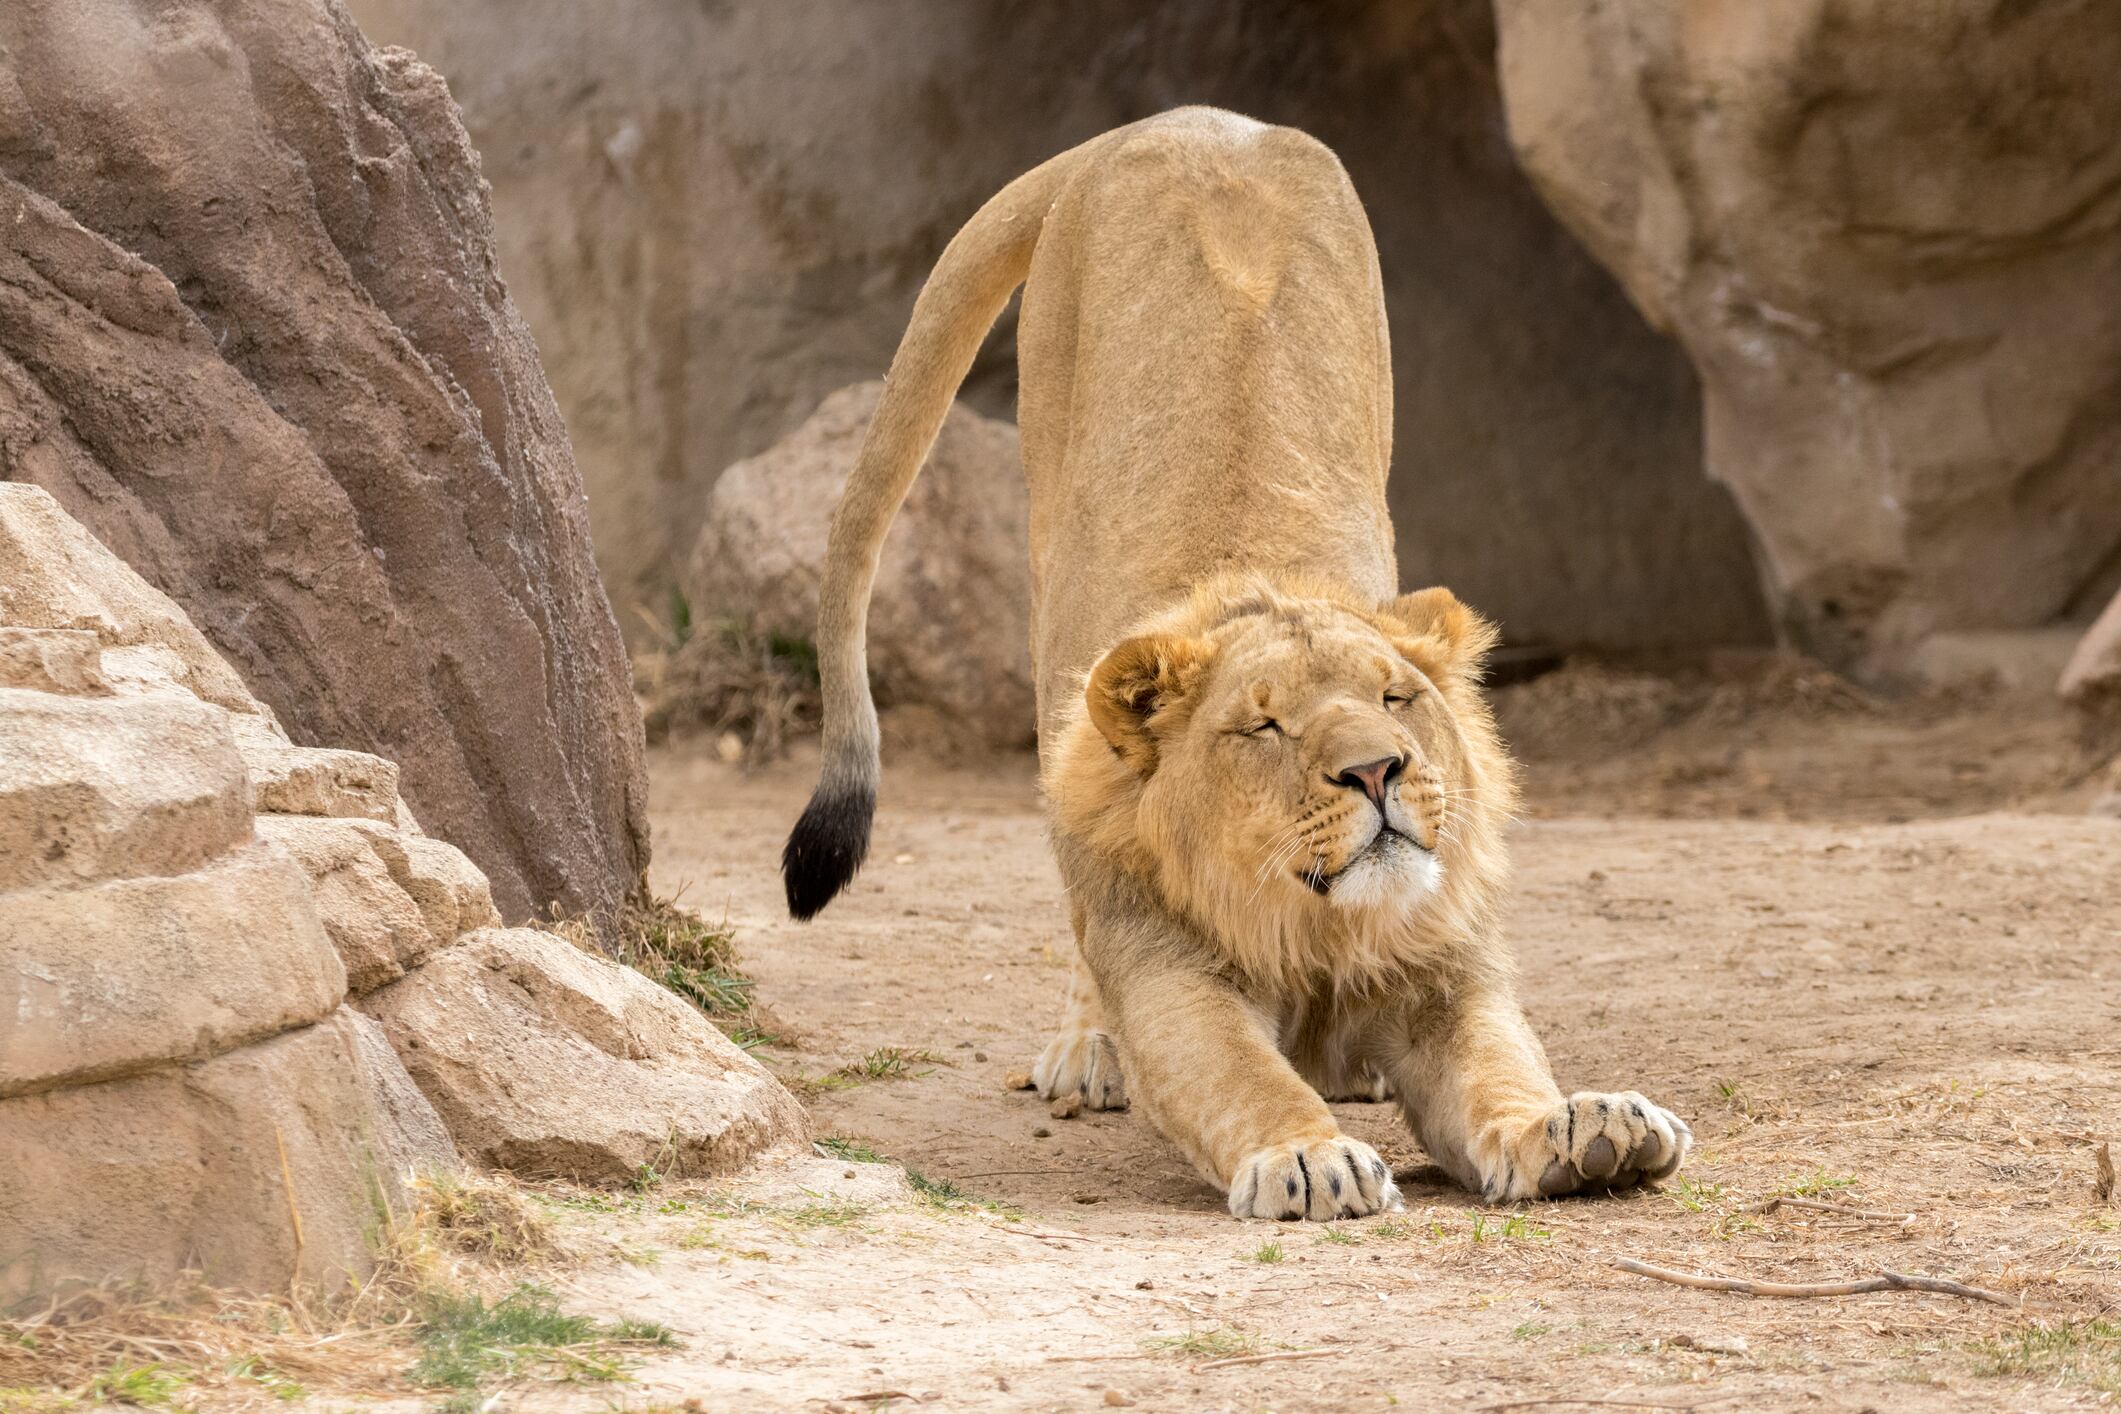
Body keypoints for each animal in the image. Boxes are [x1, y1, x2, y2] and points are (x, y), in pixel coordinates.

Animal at [782, 107, 1691, 1218]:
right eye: (1265, 725)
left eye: (1397, 698)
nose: (1378, 770)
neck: (1319, 931)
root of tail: (1165, 121)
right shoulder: (1169, 966)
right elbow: (1238, 1074)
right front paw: (1307, 1157)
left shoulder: (1447, 966)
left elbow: (1501, 1067)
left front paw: (1580, 1126)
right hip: (1054, 610)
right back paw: (1091, 1048)